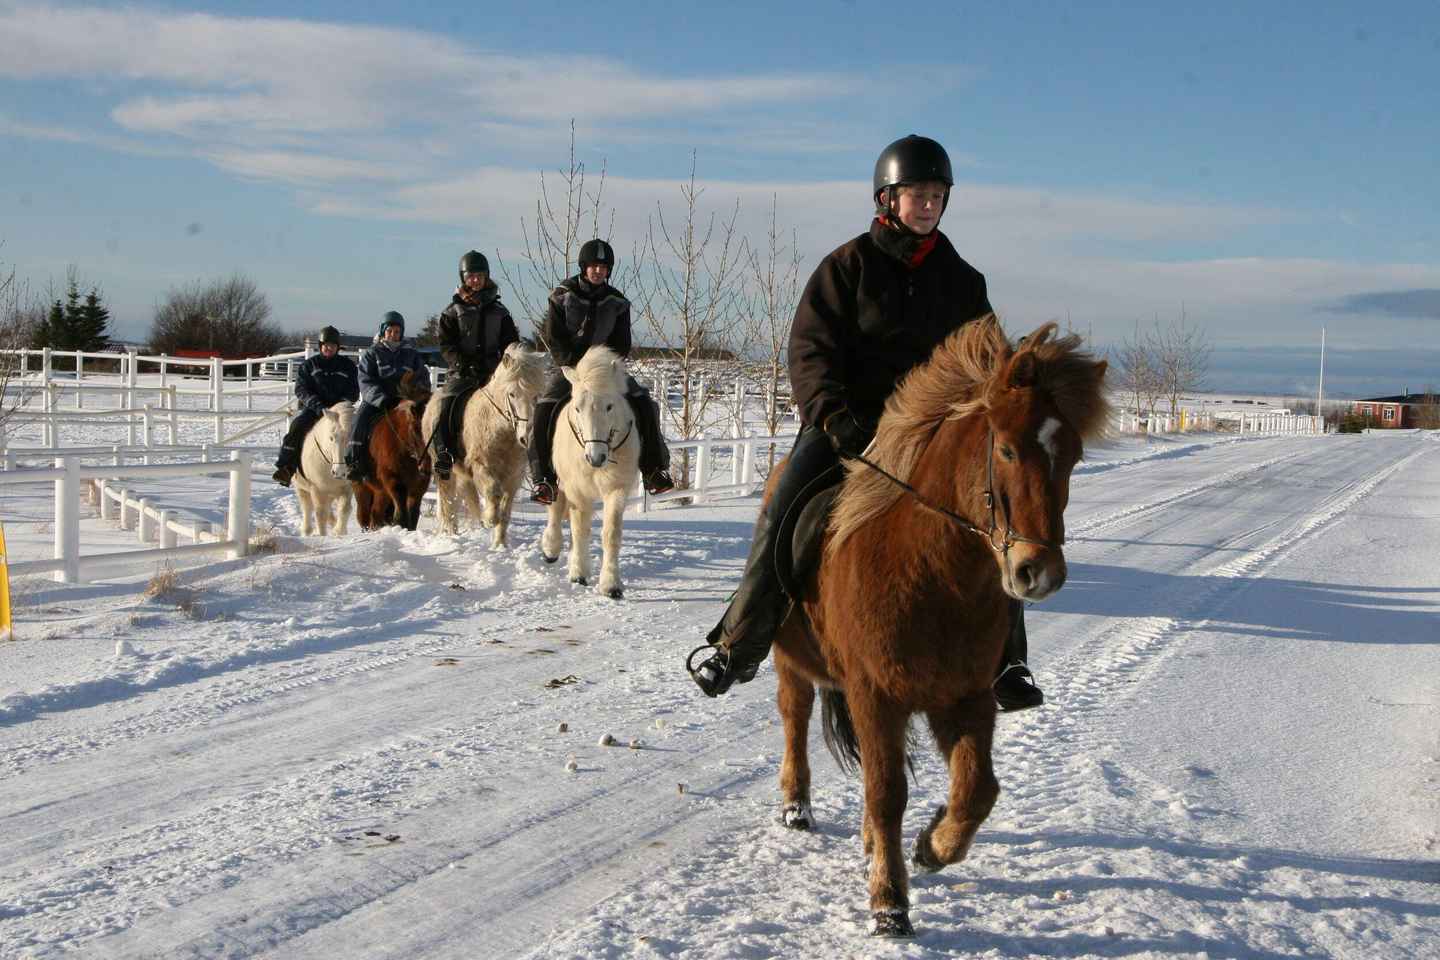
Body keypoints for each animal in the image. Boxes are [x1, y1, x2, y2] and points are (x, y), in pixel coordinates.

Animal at [291, 400, 356, 536]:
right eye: (332, 438)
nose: (340, 472)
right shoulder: (317, 489)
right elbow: (320, 514)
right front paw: (322, 535)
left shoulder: (347, 487)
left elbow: (345, 509)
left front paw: (339, 532)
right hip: (301, 488)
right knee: (307, 507)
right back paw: (306, 531)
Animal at [353, 371, 433, 531]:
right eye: (415, 428)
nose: (425, 466)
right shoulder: (392, 479)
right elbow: (401, 511)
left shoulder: (419, 484)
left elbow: (413, 515)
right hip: (361, 488)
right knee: (364, 515)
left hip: (380, 492)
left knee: (376, 513)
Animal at [421, 343, 547, 546]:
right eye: (512, 394)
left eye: (537, 395)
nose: (526, 437)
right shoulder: (482, 466)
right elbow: (493, 492)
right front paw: (489, 519)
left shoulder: (514, 475)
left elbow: (505, 510)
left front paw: (500, 545)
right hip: (443, 468)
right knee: (448, 502)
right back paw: (451, 535)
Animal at [539, 347, 641, 599]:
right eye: (577, 407)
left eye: (610, 406)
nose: (596, 458)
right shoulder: (577, 492)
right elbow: (579, 529)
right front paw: (578, 574)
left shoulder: (617, 491)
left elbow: (611, 534)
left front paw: (611, 584)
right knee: (555, 508)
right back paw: (551, 548)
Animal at [769, 317, 1110, 938]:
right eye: (1007, 449)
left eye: (1073, 457)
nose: (1040, 573)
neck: (932, 574)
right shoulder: (875, 694)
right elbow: (886, 792)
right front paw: (889, 903)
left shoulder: (966, 695)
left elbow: (977, 789)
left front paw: (931, 846)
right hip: (792, 662)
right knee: (795, 720)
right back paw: (796, 805)